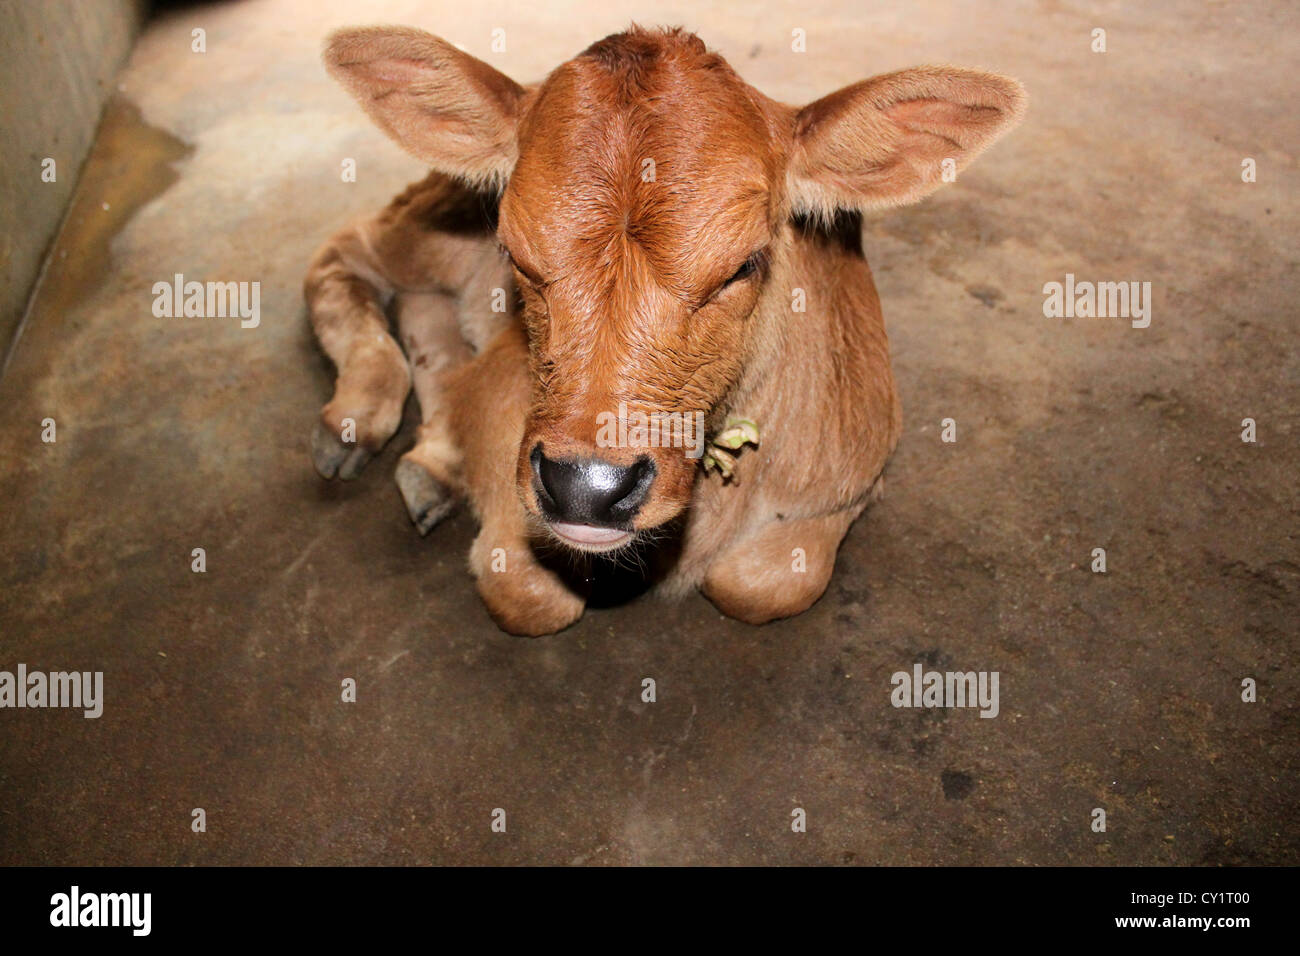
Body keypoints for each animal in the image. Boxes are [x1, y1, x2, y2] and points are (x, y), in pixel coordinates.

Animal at [304, 24, 1024, 634]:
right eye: (515, 253)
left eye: (744, 264)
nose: (588, 488)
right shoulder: (499, 399)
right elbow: (529, 596)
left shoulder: (861, 462)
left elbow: (759, 583)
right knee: (343, 254)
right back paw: (355, 420)